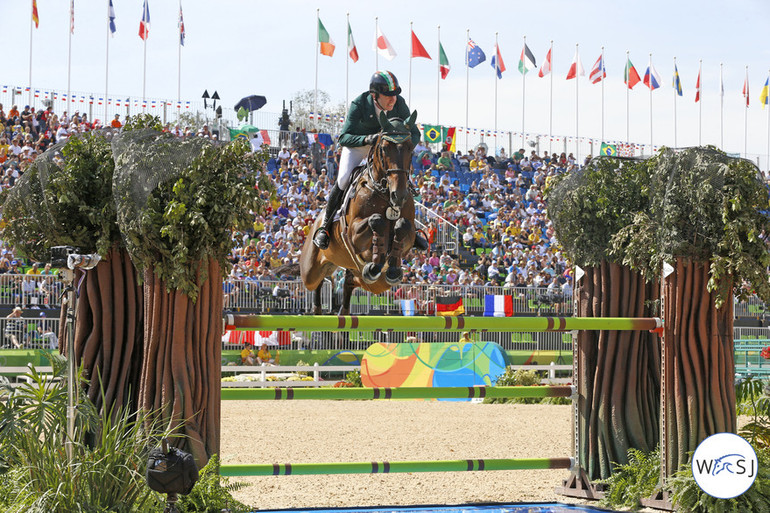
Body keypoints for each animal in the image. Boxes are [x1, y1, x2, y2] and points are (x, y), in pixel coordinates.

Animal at [300, 110, 420, 314]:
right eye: (384, 148)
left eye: (411, 147)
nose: (399, 195)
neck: (384, 193)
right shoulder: (353, 232)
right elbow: (376, 220)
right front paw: (377, 257)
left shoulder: (409, 236)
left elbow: (402, 225)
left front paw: (391, 267)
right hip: (310, 271)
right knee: (317, 282)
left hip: (374, 283)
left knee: (350, 281)